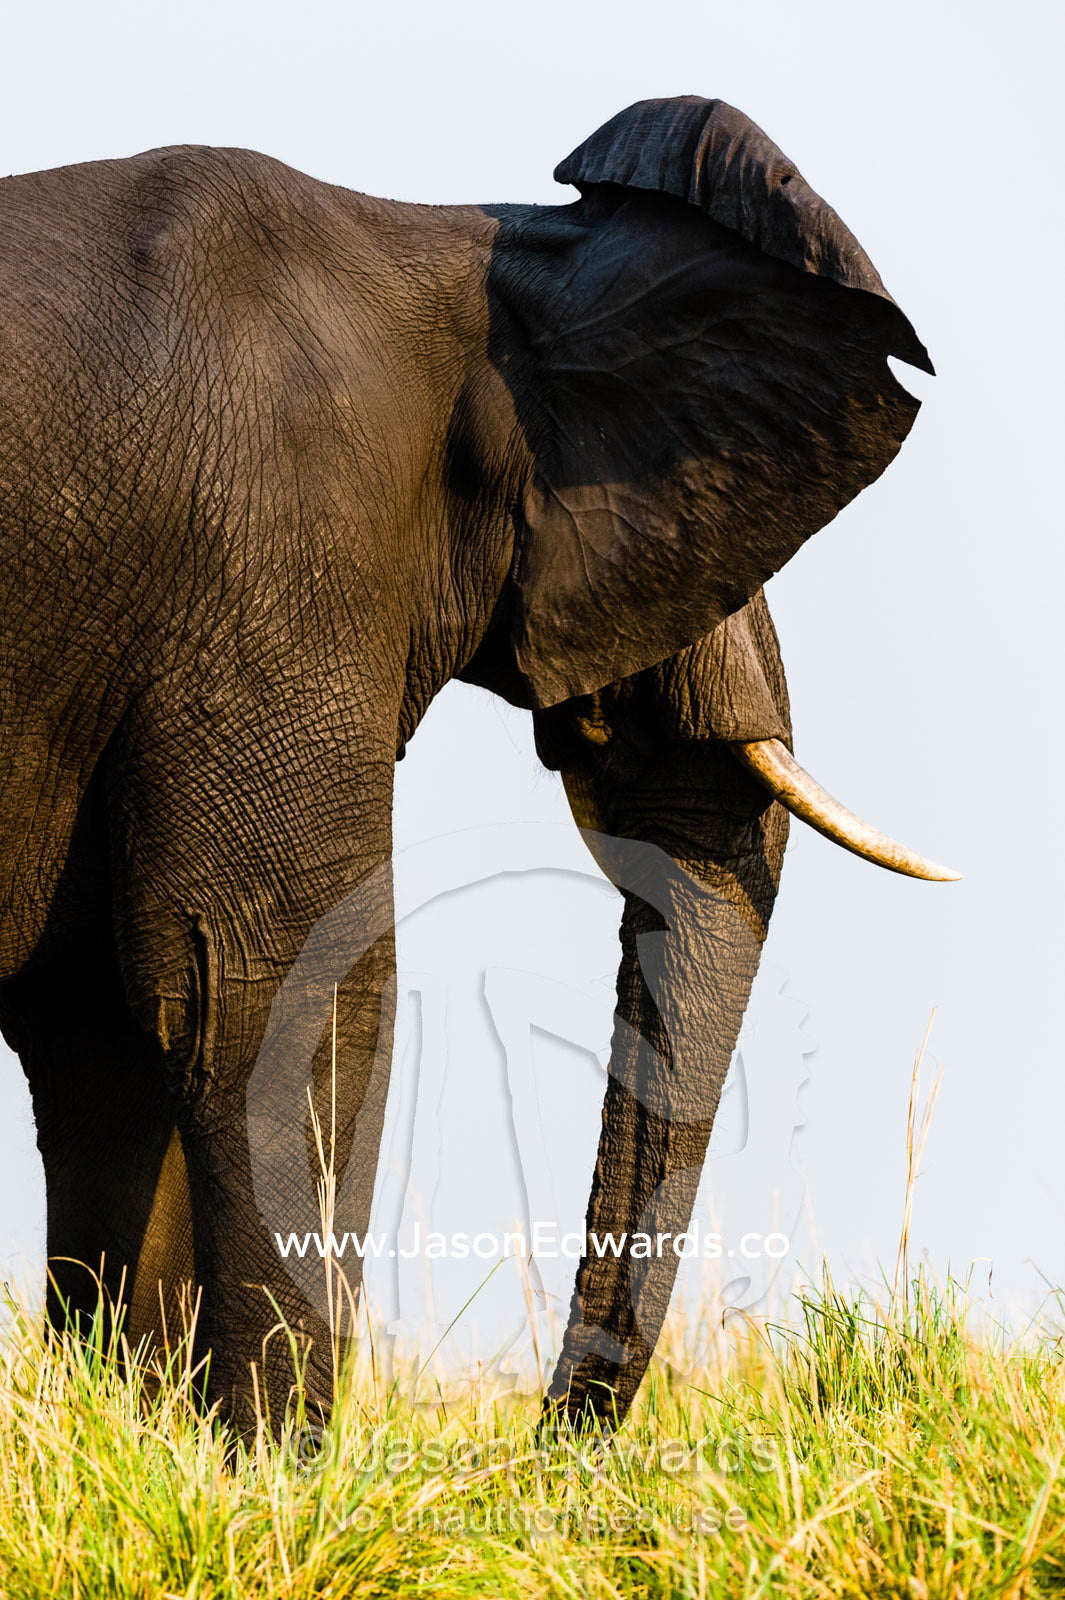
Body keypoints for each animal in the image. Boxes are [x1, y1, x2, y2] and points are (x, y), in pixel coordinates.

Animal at [0, 94, 957, 1435]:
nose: (550, 1445)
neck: (468, 244)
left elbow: (109, 1022)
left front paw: (158, 1441)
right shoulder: (279, 562)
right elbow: (285, 983)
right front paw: (277, 1467)